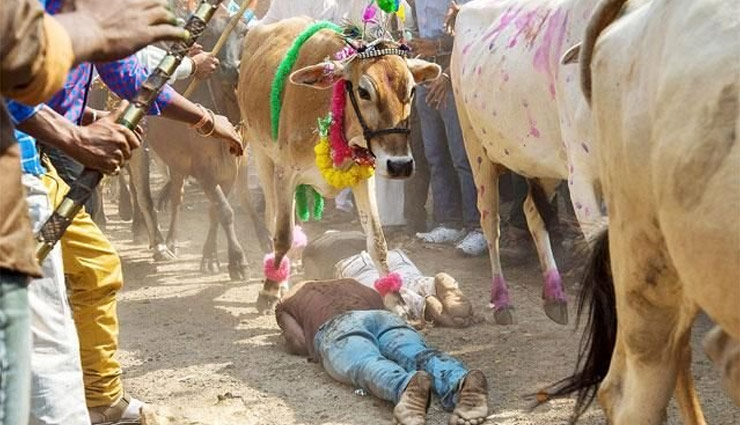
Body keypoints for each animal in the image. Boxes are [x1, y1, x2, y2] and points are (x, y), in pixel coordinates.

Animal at [238, 17, 440, 313]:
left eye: (412, 90)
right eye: (363, 91)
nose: (400, 165)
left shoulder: (364, 177)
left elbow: (377, 240)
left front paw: (395, 297)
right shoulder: (285, 174)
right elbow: (283, 234)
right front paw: (269, 290)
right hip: (261, 152)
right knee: (272, 218)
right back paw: (278, 277)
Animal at [449, 0, 605, 325]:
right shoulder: (582, 180)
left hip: (542, 164)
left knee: (532, 212)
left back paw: (555, 295)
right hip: (476, 150)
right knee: (490, 222)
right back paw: (502, 301)